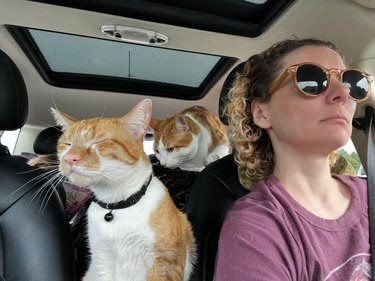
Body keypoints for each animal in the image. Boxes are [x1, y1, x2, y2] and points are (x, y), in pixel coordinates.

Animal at [52, 99, 197, 280]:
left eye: (98, 142)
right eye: (67, 144)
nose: (69, 158)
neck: (117, 205)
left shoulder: (165, 264)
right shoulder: (102, 261)